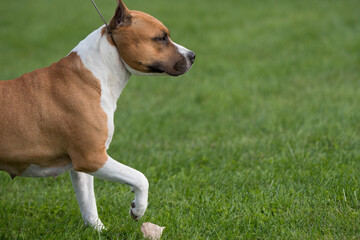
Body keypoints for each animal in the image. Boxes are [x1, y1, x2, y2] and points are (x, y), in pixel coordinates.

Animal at [0, 0, 194, 231]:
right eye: (161, 38)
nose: (192, 55)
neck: (96, 74)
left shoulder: (82, 167)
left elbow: (88, 202)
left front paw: (98, 230)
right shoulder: (93, 158)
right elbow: (140, 178)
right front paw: (138, 208)